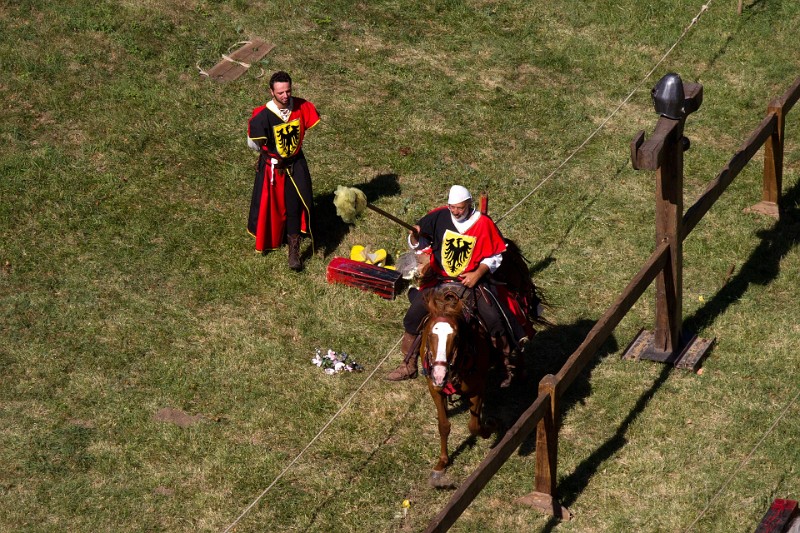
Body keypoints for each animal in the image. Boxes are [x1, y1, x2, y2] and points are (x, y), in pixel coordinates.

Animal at [418, 284, 500, 484]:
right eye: (430, 334)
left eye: (456, 337)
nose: (439, 375)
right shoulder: (435, 390)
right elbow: (444, 425)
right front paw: (442, 463)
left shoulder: (477, 390)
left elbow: (474, 426)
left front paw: (490, 427)